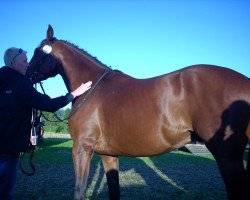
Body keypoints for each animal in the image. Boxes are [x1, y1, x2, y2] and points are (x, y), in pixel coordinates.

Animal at [27, 25, 250, 200]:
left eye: (37, 51)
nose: (27, 74)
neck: (92, 88)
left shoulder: (81, 149)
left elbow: (79, 192)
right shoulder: (108, 155)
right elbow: (114, 191)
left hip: (227, 156)